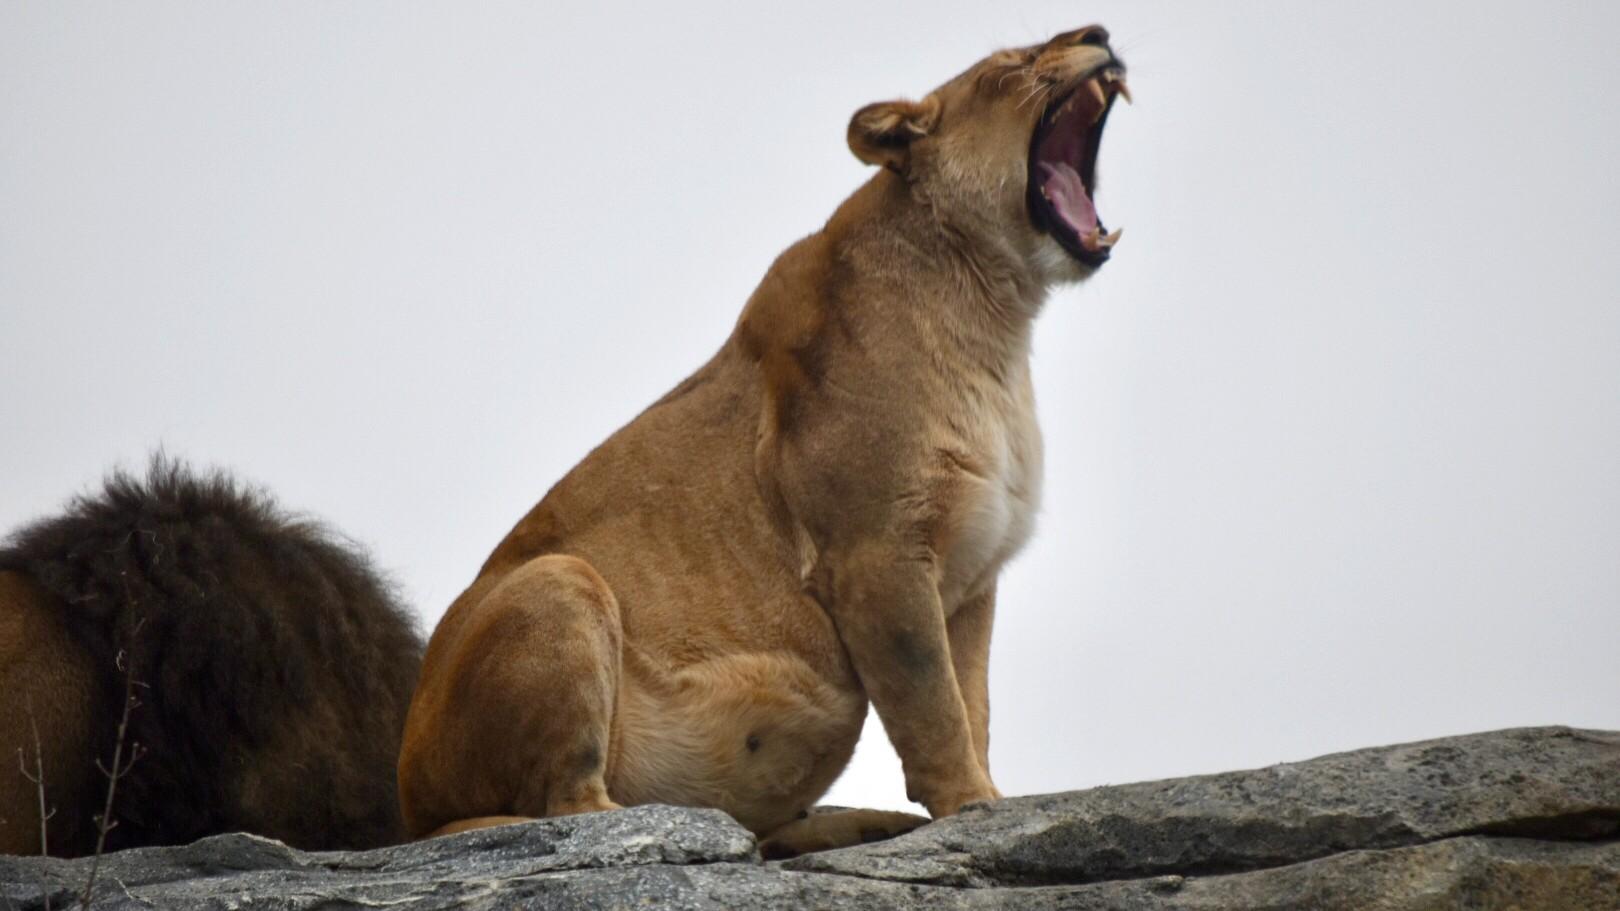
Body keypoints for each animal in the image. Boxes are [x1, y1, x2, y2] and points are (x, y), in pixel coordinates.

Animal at [398, 24, 1127, 855]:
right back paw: (690, 827)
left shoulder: (973, 577)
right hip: (559, 580)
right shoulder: (875, 553)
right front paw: (971, 805)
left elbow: (972, 703)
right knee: (559, 808)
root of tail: (406, 794)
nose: (1100, 33)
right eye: (1014, 64)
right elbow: (932, 704)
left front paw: (988, 801)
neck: (995, 318)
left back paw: (852, 822)